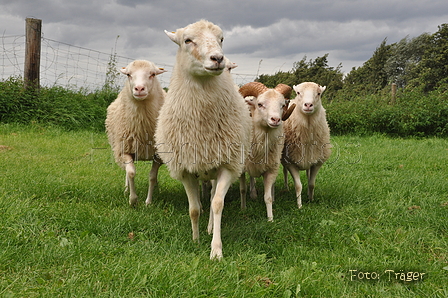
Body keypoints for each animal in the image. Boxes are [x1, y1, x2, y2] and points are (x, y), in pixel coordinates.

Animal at [105, 60, 166, 207]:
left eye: (152, 74)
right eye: (128, 74)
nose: (139, 89)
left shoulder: (157, 154)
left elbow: (152, 176)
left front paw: (148, 202)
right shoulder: (125, 150)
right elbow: (131, 173)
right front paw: (133, 200)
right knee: (127, 172)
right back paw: (126, 189)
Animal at [154, 19, 252, 260]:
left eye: (221, 39)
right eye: (187, 40)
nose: (218, 59)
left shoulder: (227, 165)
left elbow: (217, 204)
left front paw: (216, 249)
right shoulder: (185, 169)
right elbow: (194, 208)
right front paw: (195, 240)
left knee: (213, 196)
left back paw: (210, 228)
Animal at [238, 81, 298, 221]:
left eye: (282, 105)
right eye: (260, 104)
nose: (276, 120)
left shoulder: (271, 169)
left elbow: (268, 197)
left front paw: (270, 218)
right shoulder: (242, 168)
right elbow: (242, 190)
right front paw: (243, 208)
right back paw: (253, 194)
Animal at [282, 80, 330, 208]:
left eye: (318, 93)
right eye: (298, 93)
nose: (308, 105)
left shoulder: (317, 162)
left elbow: (311, 183)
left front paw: (311, 199)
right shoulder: (291, 162)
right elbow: (298, 186)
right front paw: (299, 205)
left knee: (308, 173)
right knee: (284, 171)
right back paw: (286, 188)